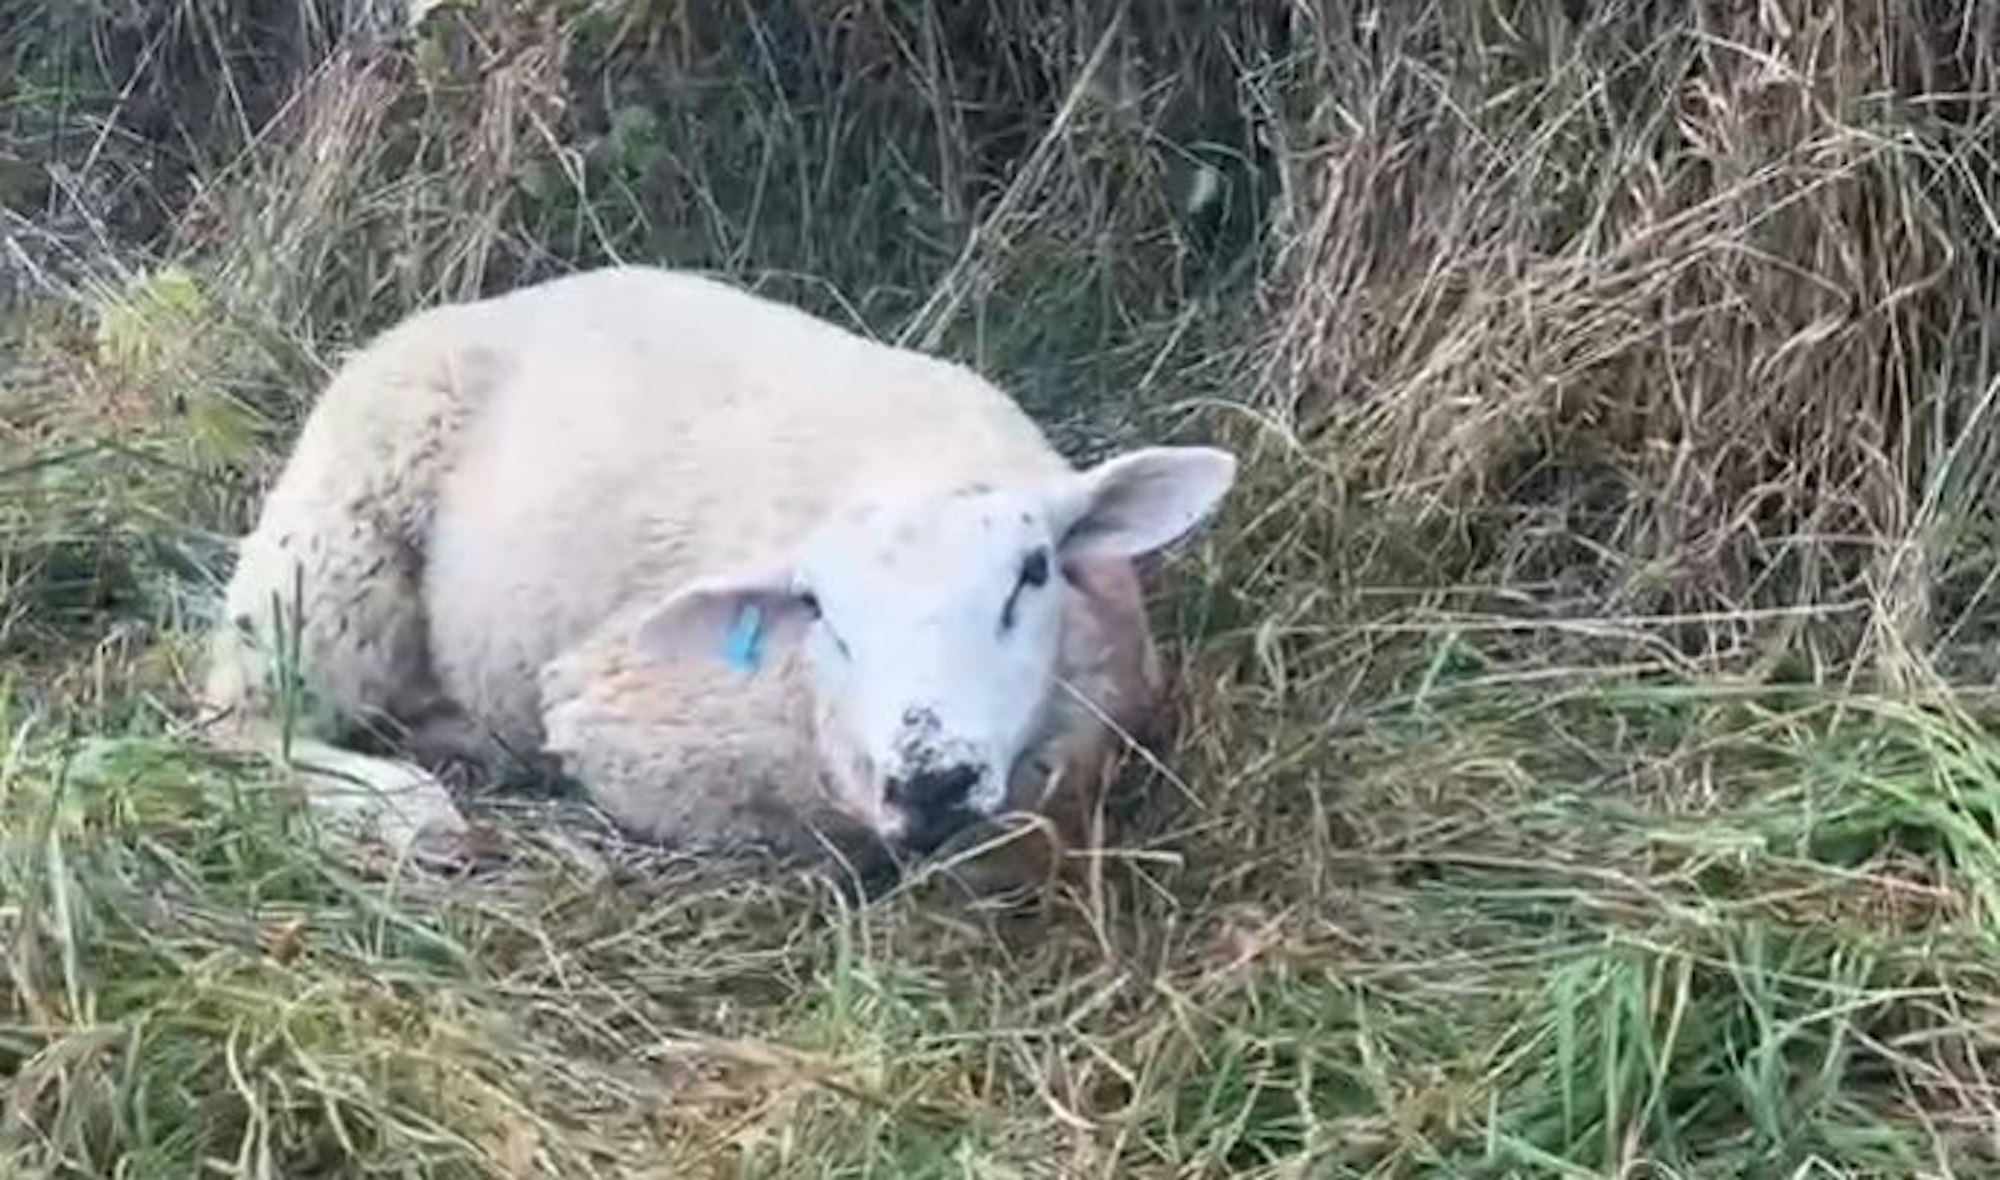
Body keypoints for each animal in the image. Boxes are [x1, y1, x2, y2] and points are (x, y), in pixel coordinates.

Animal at [199, 264, 1237, 891]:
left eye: (1033, 572)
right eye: (819, 611)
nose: (930, 780)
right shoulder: (622, 715)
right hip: (329, 549)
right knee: (237, 724)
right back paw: (409, 810)